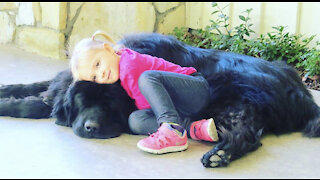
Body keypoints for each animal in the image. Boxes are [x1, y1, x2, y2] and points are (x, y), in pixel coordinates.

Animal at [0, 32, 320, 167]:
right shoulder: (57, 84)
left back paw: (220, 155)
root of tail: (300, 89)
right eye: (82, 102)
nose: (91, 127)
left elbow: (32, 104)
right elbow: (36, 86)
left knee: (247, 136)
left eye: (109, 105)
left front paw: (12, 106)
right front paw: (7, 90)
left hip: (229, 103)